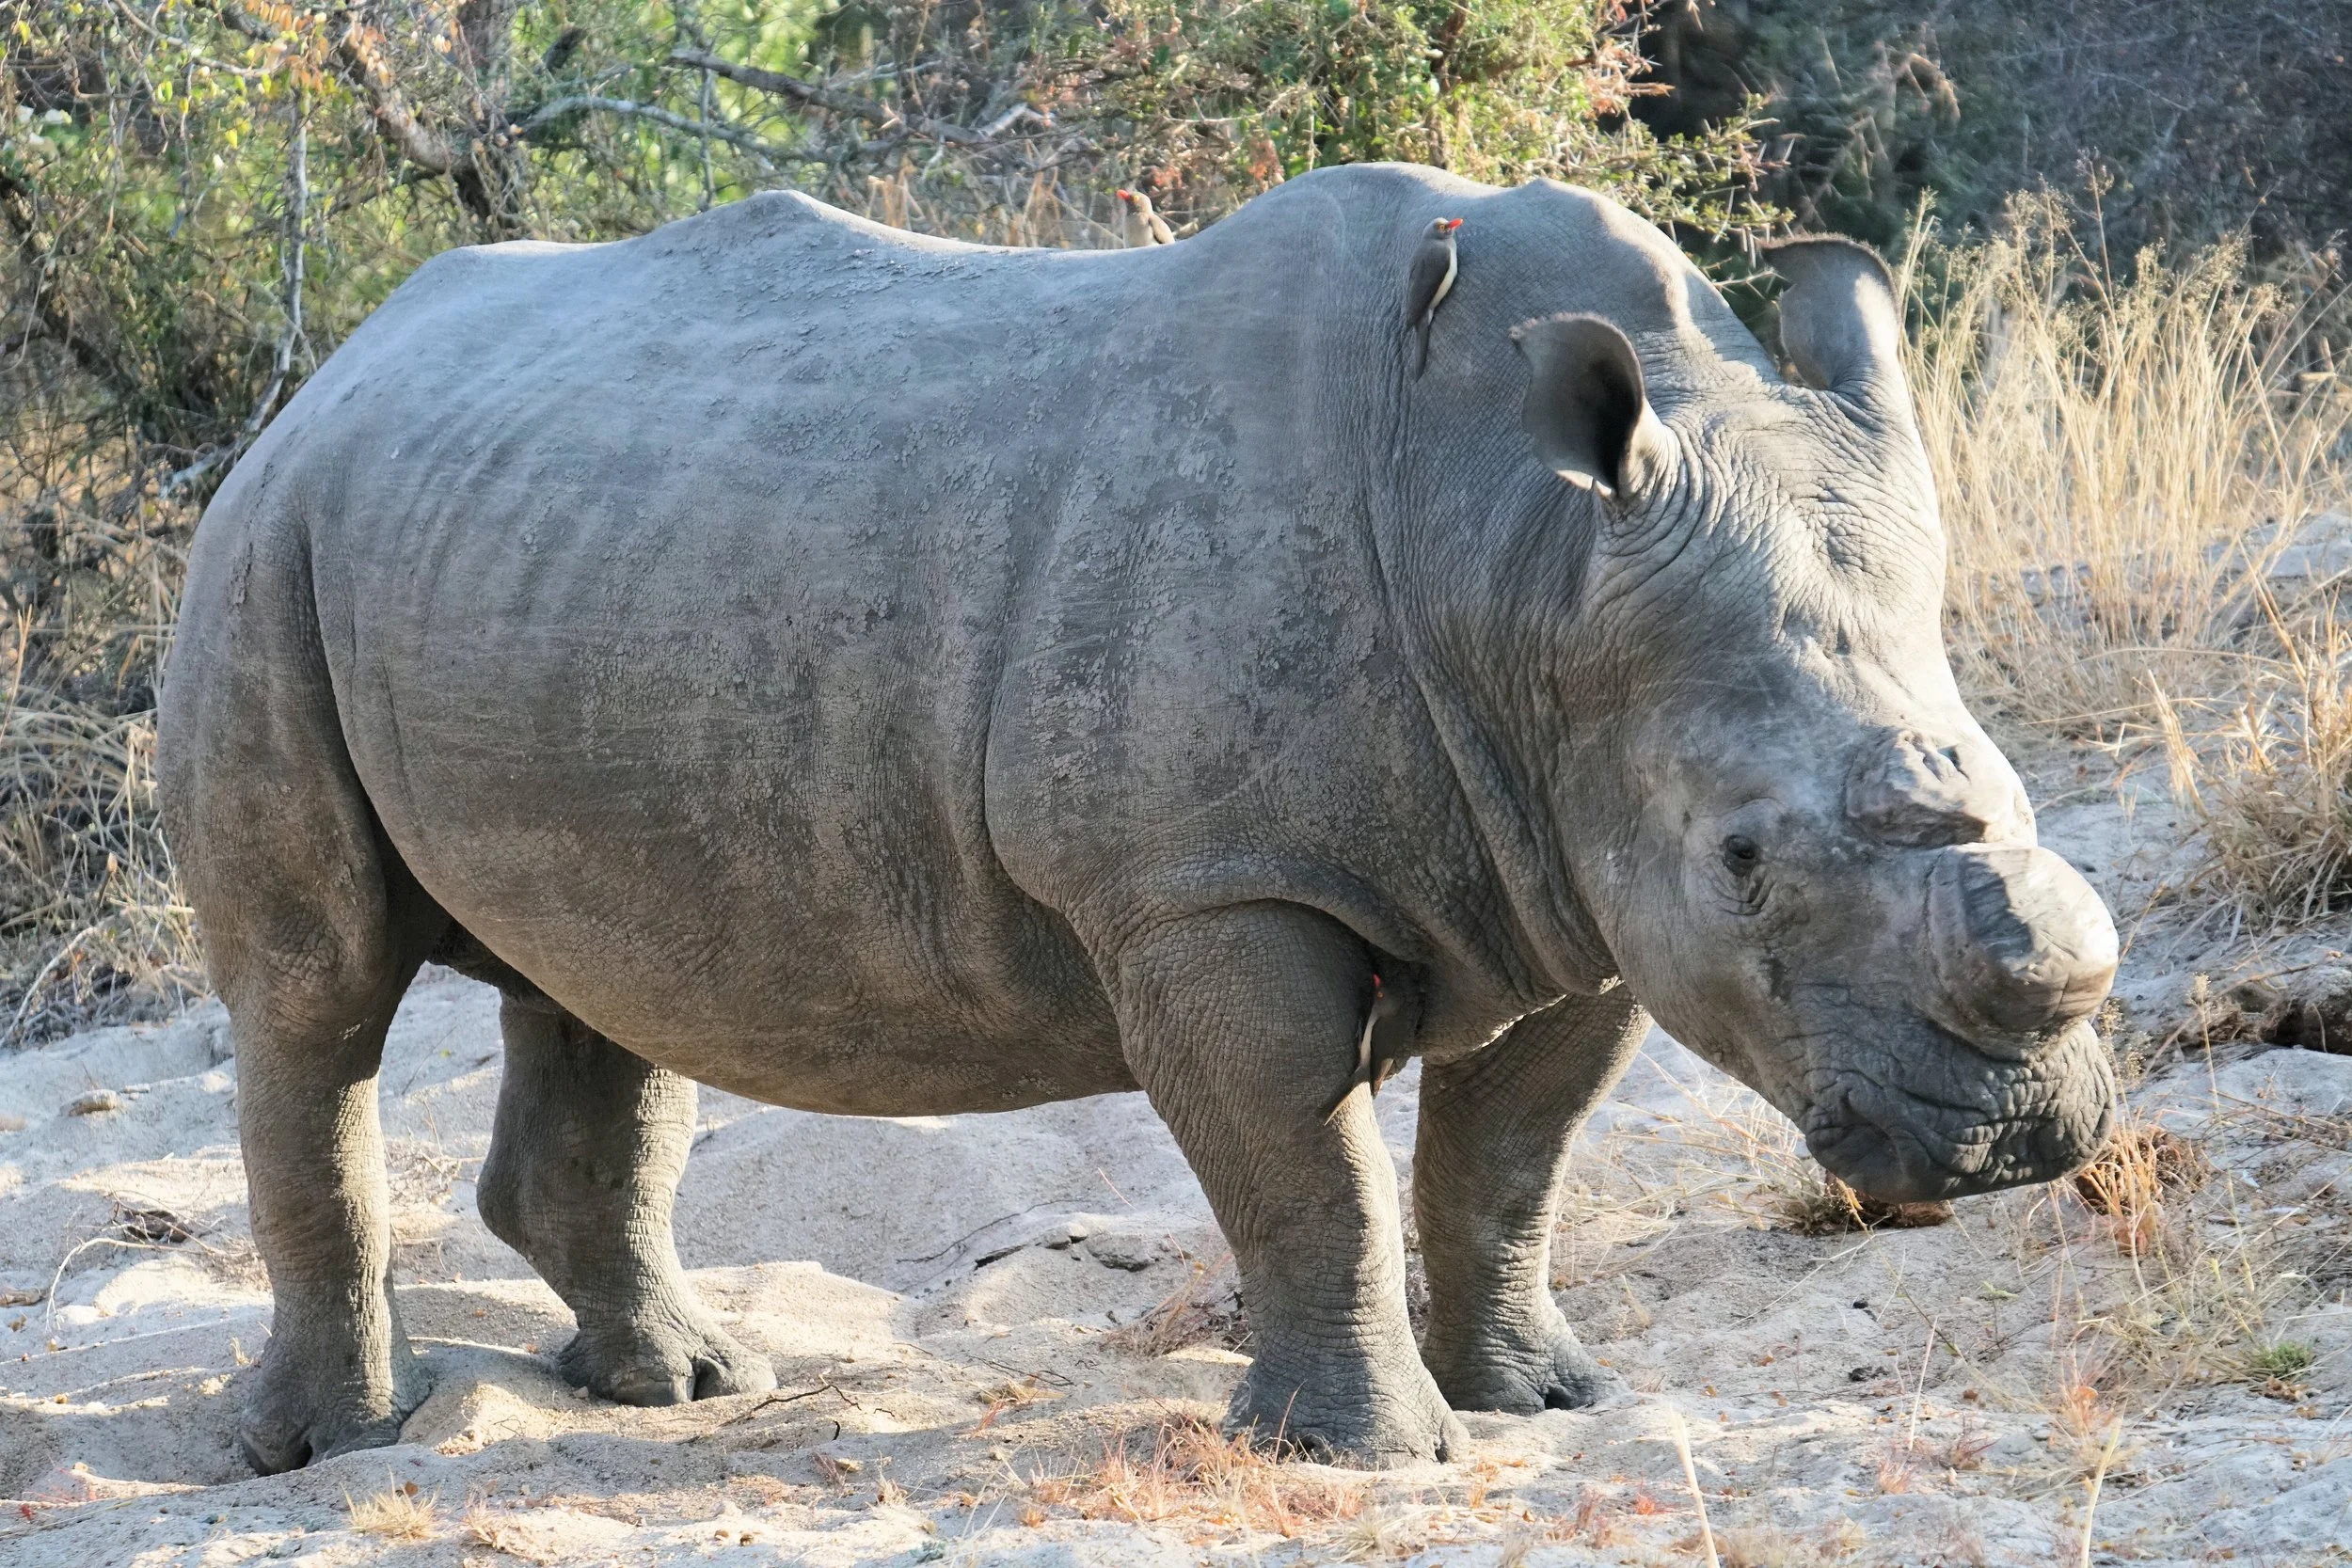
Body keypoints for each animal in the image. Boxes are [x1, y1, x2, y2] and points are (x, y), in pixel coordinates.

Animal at [158, 163, 2118, 1473]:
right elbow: (1310, 1168)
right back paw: (332, 1448)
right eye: (1750, 860)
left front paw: (1543, 1401)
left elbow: (1508, 1162)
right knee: (317, 990)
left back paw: (688, 1388)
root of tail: (335, 371)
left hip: (541, 550)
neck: (1522, 560)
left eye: (2019, 790)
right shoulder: (1208, 884)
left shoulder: (1568, 872)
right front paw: (1366, 1457)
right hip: (264, 548)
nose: (2020, 1133)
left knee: (598, 986)